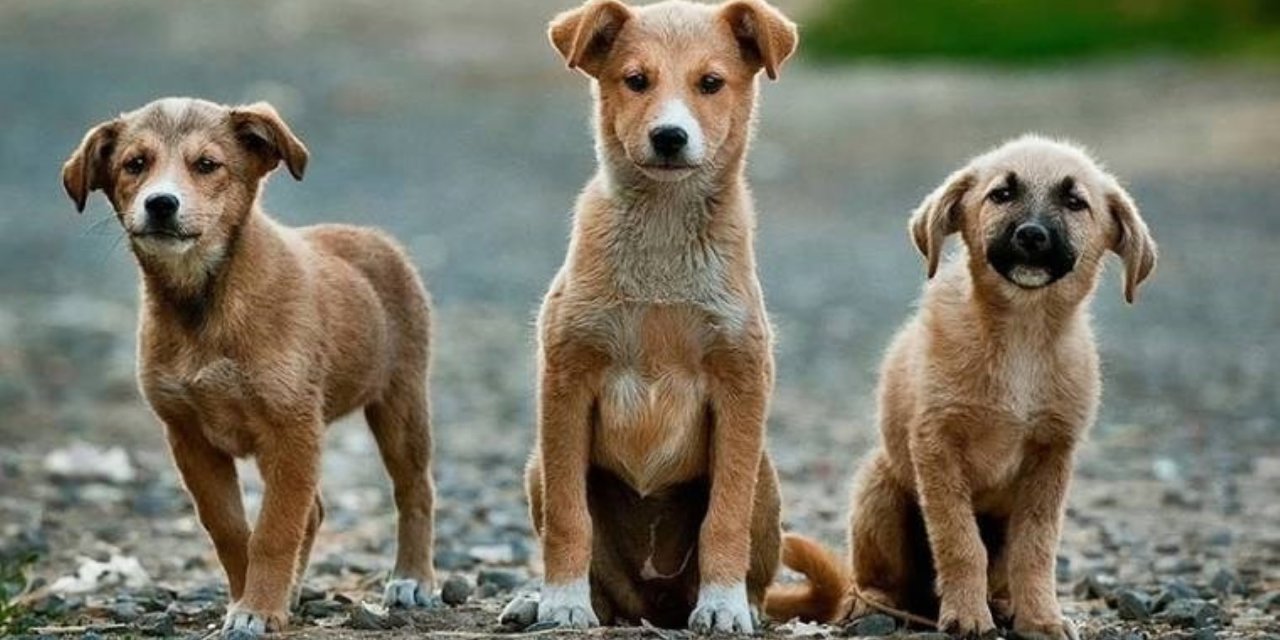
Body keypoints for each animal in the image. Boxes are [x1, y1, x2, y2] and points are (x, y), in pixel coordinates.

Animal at [61, 97, 440, 637]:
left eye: (207, 165)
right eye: (135, 164)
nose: (161, 204)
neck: (205, 303)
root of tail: (373, 237)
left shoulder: (291, 429)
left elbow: (275, 529)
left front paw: (258, 607)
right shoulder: (189, 437)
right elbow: (231, 529)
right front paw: (251, 600)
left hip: (400, 402)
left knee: (414, 490)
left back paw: (412, 579)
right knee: (315, 511)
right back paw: (296, 591)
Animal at [768, 136, 1162, 640]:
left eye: (1076, 202)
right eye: (1001, 194)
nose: (1031, 235)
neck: (1021, 335)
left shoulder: (1052, 455)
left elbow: (1036, 548)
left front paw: (1040, 618)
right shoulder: (937, 444)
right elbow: (959, 541)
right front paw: (967, 616)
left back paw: (1003, 604)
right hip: (879, 486)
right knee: (872, 581)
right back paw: (874, 605)